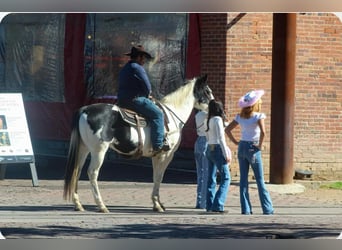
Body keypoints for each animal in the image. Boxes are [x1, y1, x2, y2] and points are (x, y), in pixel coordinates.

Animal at [63, 74, 214, 213]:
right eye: (207, 91)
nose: (215, 107)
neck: (172, 116)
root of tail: (85, 110)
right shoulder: (166, 155)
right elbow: (159, 177)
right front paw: (157, 205)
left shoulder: (156, 155)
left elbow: (155, 176)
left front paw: (157, 203)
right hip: (98, 151)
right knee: (92, 173)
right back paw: (102, 206)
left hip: (83, 149)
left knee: (77, 170)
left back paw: (78, 204)